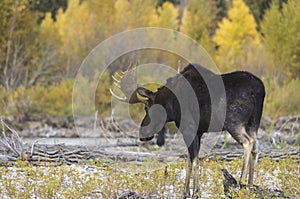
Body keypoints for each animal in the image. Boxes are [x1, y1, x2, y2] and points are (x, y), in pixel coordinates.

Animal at [110, 63, 264, 197]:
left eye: (146, 108)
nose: (142, 135)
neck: (171, 105)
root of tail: (260, 90)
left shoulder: (189, 128)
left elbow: (194, 161)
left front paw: (195, 191)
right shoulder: (199, 132)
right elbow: (189, 161)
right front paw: (185, 192)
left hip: (234, 122)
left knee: (248, 143)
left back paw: (240, 182)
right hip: (253, 123)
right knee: (256, 147)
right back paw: (250, 185)